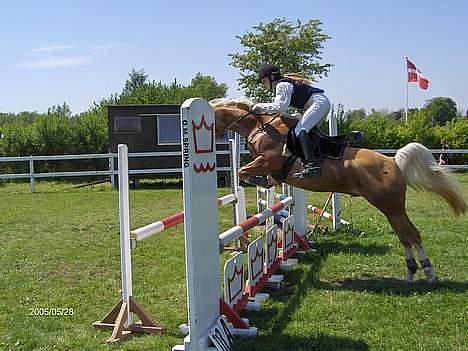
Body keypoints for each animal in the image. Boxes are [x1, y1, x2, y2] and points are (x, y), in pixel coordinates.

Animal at [211, 97, 464, 284]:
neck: (260, 127)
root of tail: (394, 162)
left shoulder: (268, 160)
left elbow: (244, 171)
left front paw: (258, 179)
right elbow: (254, 175)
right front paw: (264, 182)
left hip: (390, 205)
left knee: (411, 234)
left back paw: (429, 273)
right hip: (391, 208)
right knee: (405, 235)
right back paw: (412, 272)